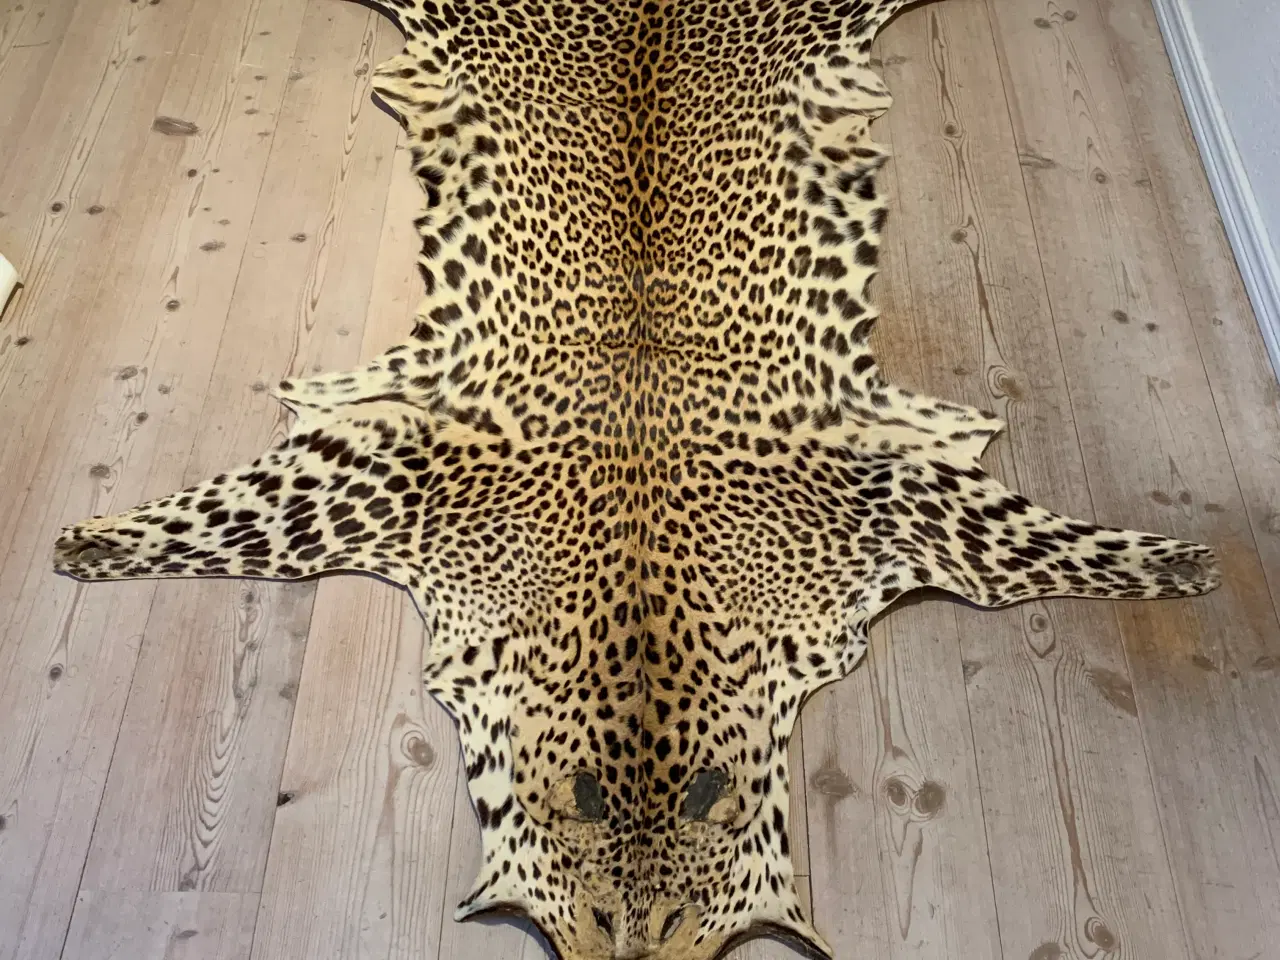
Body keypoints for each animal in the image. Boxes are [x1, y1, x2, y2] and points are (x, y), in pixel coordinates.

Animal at [52, 1, 1222, 957]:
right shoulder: (389, 470)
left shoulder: (893, 491)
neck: (642, 590)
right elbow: (212, 517)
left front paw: (1190, 562)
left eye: (680, 929)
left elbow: (1065, 543)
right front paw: (88, 539)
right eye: (606, 923)